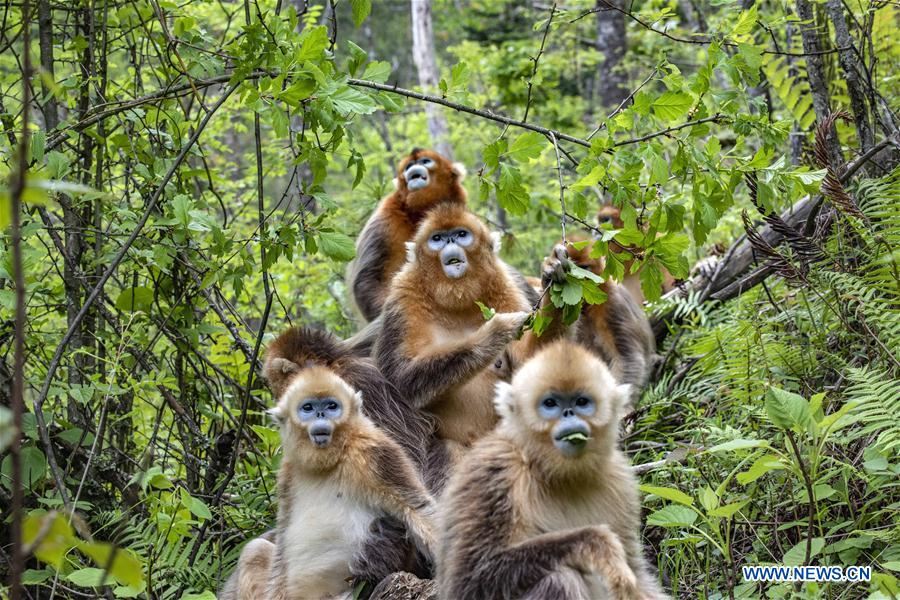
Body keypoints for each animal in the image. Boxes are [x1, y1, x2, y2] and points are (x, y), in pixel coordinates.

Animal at [436, 342, 668, 600]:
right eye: (550, 404)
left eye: (581, 402)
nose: (569, 414)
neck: (556, 473)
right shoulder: (495, 471)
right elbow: (469, 581)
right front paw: (596, 543)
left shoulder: (621, 480)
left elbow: (636, 573)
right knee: (559, 578)